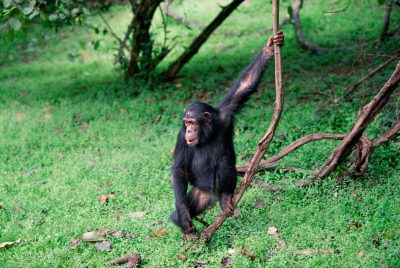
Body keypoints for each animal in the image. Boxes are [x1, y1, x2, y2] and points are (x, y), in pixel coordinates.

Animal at [170, 31, 282, 234]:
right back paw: (188, 229)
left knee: (223, 164)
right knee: (176, 215)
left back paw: (225, 198)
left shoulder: (226, 112)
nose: (189, 129)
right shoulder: (181, 138)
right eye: (186, 123)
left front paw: (269, 48)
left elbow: (245, 84)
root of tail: (211, 198)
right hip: (199, 195)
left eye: (192, 122)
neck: (207, 132)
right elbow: (180, 168)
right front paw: (184, 217)